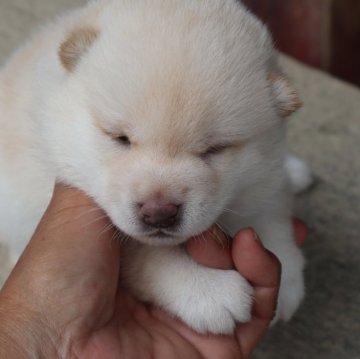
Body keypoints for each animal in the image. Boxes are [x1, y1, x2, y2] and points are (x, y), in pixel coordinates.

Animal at [0, 0, 310, 334]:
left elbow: (270, 211)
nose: (159, 212)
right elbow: (146, 255)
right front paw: (210, 290)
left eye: (214, 149)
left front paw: (286, 277)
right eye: (119, 137)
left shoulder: (263, 173)